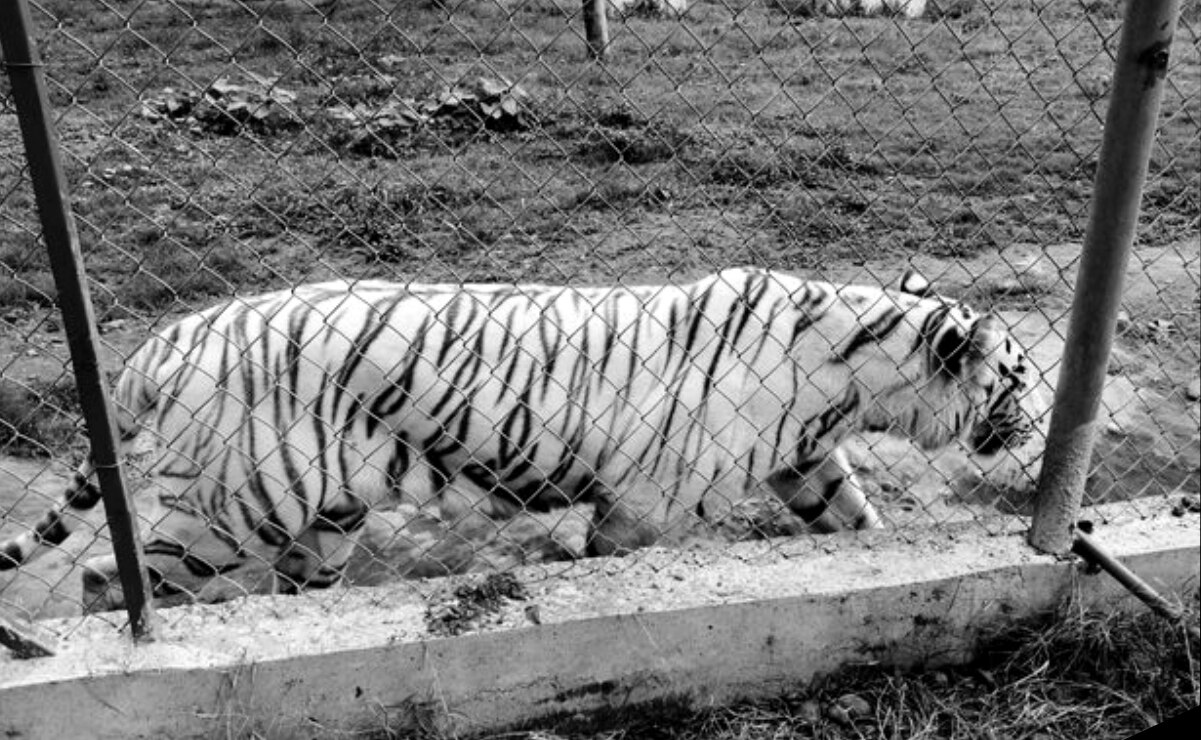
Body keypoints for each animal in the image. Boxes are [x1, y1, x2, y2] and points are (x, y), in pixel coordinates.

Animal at [0, 267, 1035, 610]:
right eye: (1020, 379)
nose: (1034, 426)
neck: (853, 377)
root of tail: (164, 341)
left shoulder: (804, 458)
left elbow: (852, 520)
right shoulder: (646, 502)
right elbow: (613, 560)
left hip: (320, 515)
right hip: (234, 506)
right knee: (107, 579)